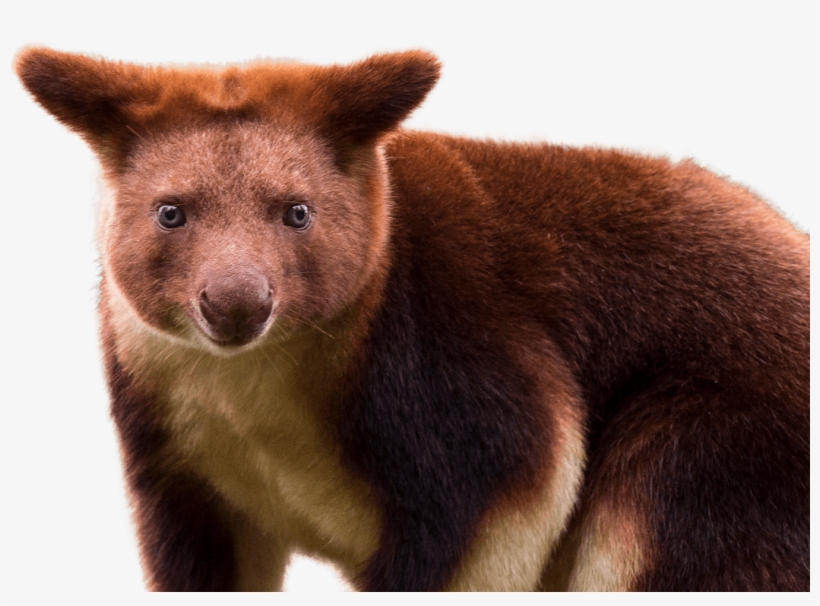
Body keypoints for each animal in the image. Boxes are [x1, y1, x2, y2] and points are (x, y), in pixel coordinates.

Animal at [16, 48, 809, 591]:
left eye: (297, 212)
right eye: (170, 213)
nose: (236, 305)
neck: (254, 377)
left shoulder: (454, 356)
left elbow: (500, 509)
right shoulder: (172, 433)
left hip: (723, 453)